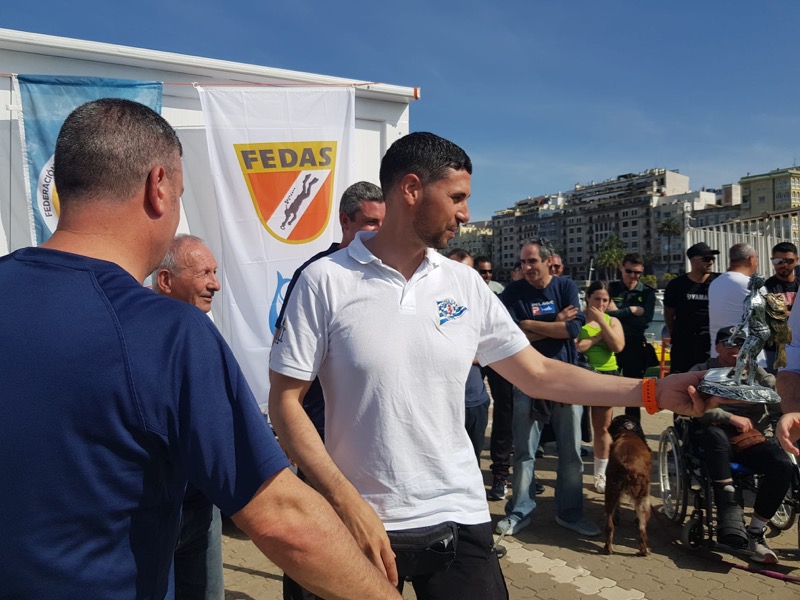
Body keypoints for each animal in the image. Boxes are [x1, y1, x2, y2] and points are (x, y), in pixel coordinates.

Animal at [604, 415, 652, 556]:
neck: (627, 431)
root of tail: (627, 465)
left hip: (611, 490)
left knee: (609, 525)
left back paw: (608, 548)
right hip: (643, 496)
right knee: (642, 527)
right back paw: (644, 550)